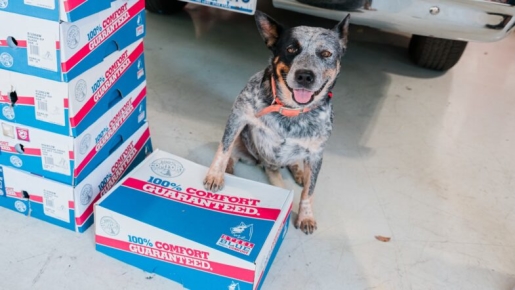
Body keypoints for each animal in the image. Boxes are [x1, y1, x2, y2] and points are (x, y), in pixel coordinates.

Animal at [204, 11, 352, 234]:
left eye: (326, 54)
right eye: (291, 49)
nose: (305, 75)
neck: (291, 111)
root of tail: (265, 163)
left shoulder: (316, 153)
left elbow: (309, 191)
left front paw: (306, 216)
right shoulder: (238, 115)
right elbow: (223, 149)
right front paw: (215, 175)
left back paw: (298, 172)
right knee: (236, 153)